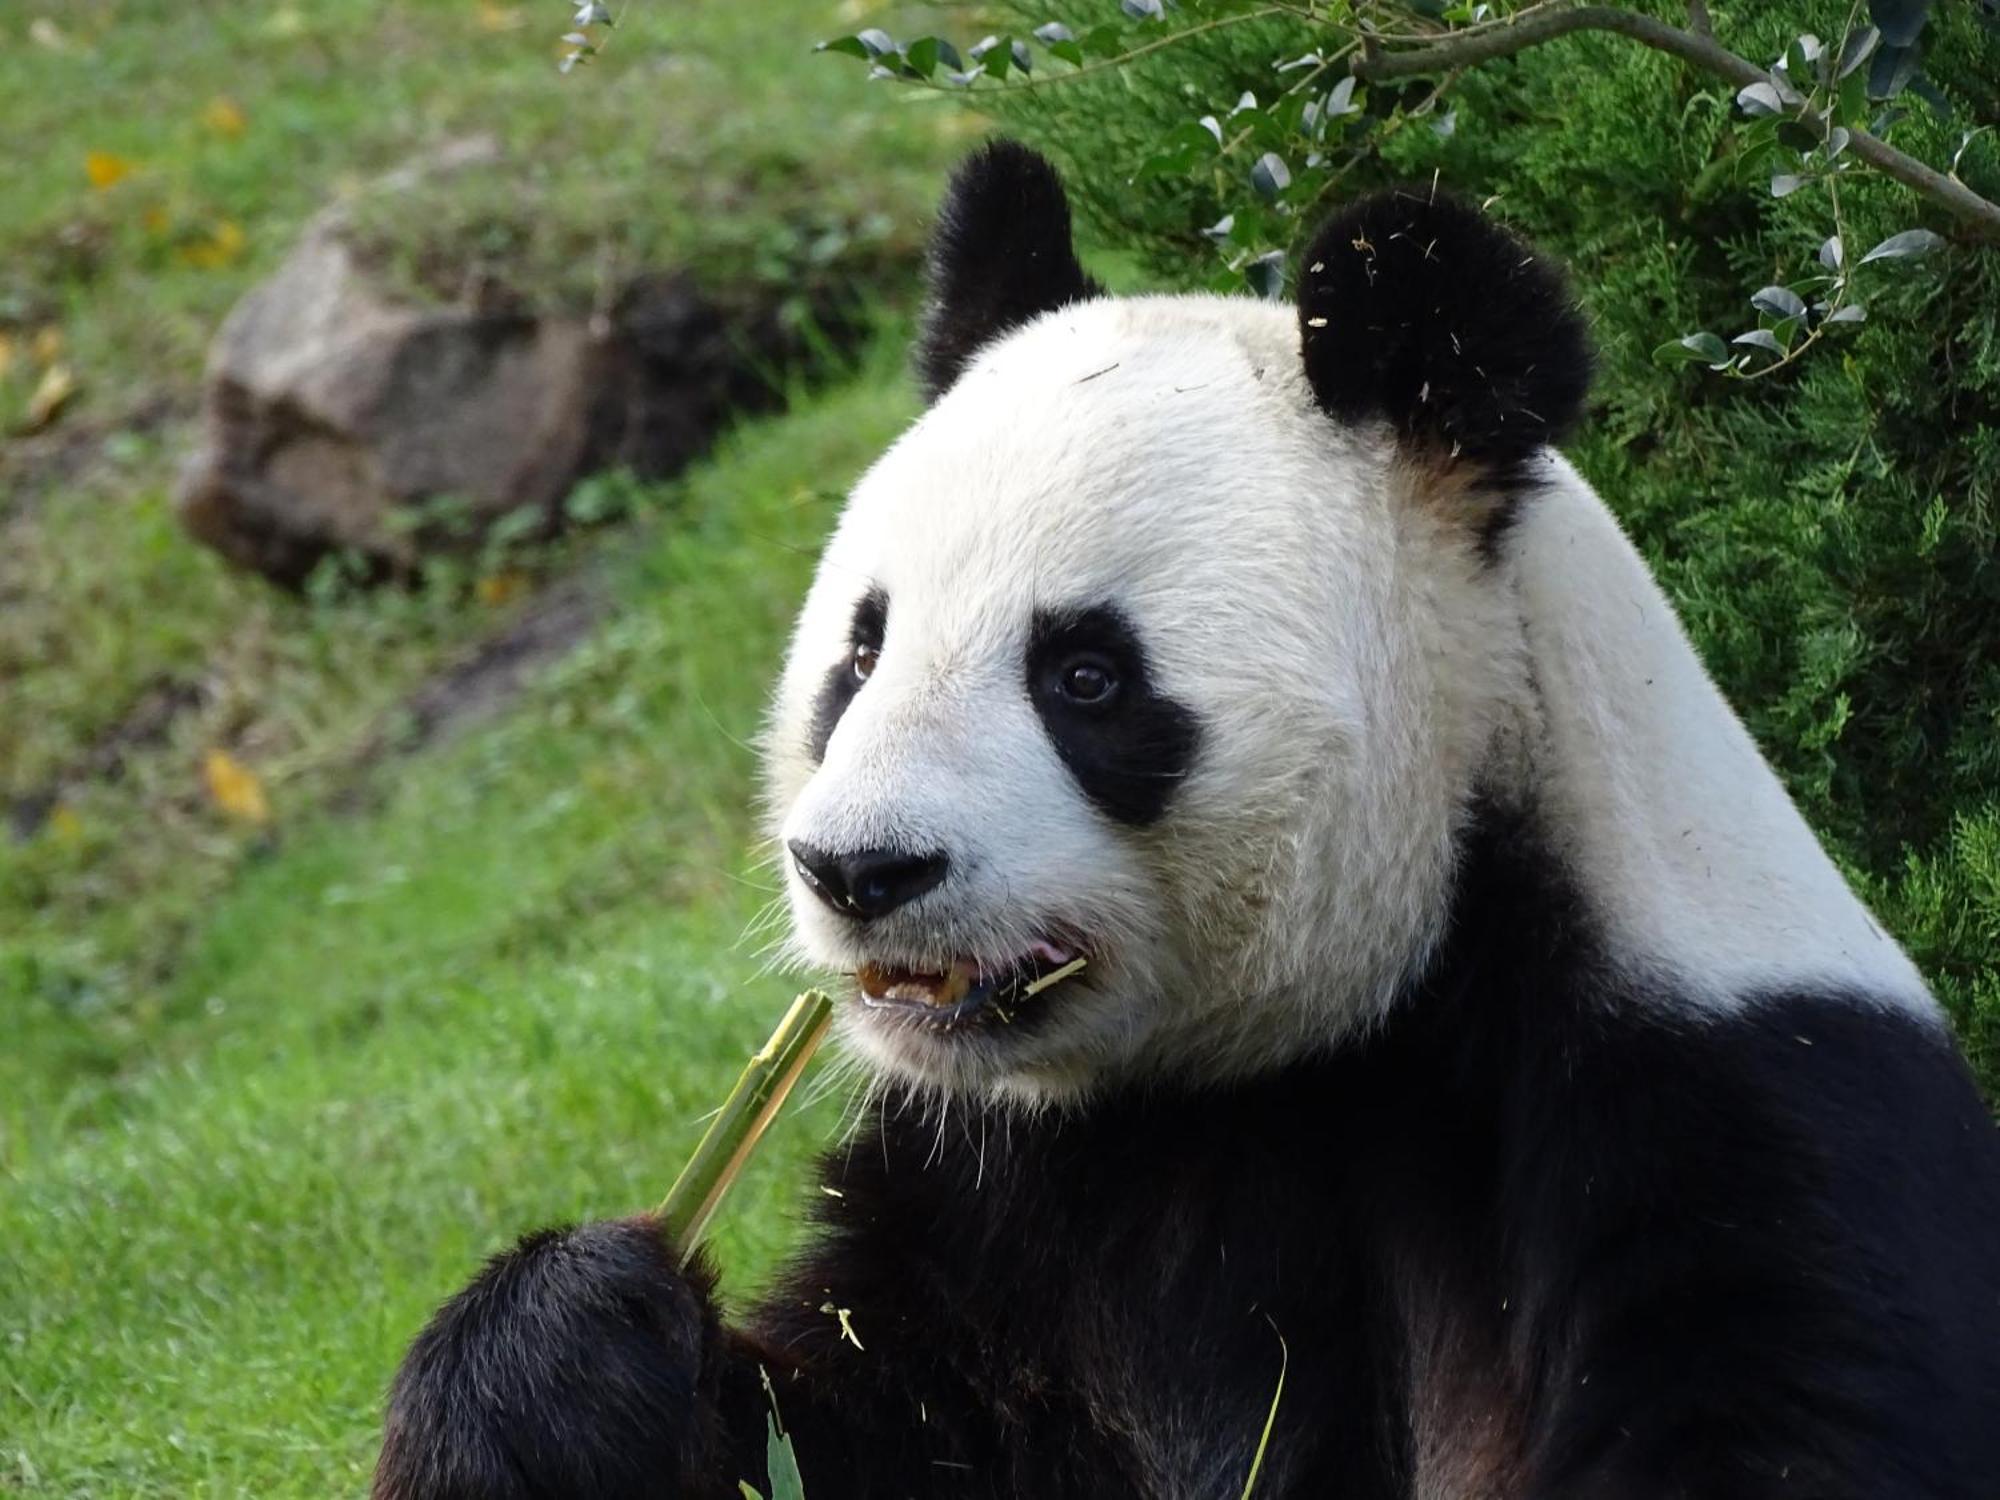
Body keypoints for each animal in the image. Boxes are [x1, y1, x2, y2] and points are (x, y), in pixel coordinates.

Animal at [372, 144, 2000, 1500]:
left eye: (1086, 677)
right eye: (862, 652)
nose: (859, 870)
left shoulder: (1721, 1116)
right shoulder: (1010, 1197)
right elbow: (849, 1429)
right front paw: (569, 1349)